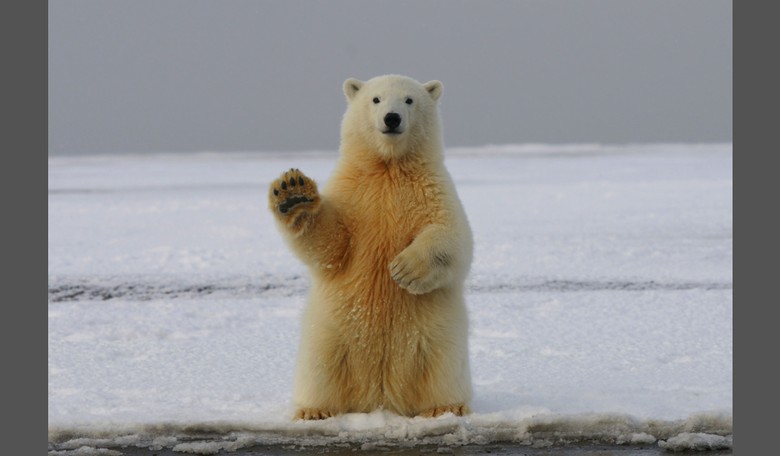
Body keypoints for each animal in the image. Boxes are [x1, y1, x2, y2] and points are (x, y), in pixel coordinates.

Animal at [268, 74, 473, 420]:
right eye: (375, 99)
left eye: (409, 100)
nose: (392, 118)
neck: (388, 167)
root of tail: (380, 398)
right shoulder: (353, 194)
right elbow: (332, 244)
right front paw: (293, 193)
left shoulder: (433, 190)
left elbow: (452, 237)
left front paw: (404, 269)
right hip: (330, 334)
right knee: (320, 369)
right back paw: (314, 410)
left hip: (438, 338)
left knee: (442, 369)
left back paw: (446, 407)